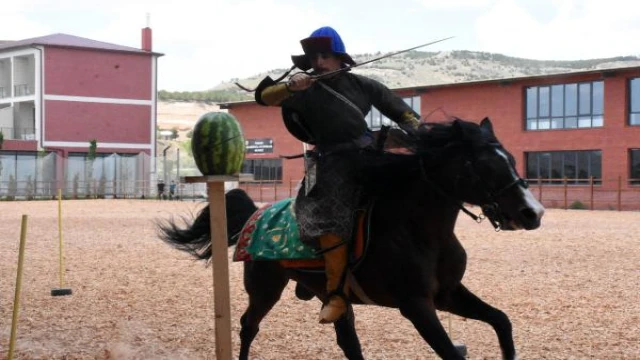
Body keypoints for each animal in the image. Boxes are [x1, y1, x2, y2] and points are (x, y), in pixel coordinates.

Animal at [158, 118, 544, 360]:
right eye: (484, 165)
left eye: (511, 159)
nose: (533, 212)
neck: (420, 230)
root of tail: (256, 214)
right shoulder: (416, 305)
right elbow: (451, 352)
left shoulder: (448, 294)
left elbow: (502, 321)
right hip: (266, 288)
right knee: (247, 327)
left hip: (329, 295)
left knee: (347, 342)